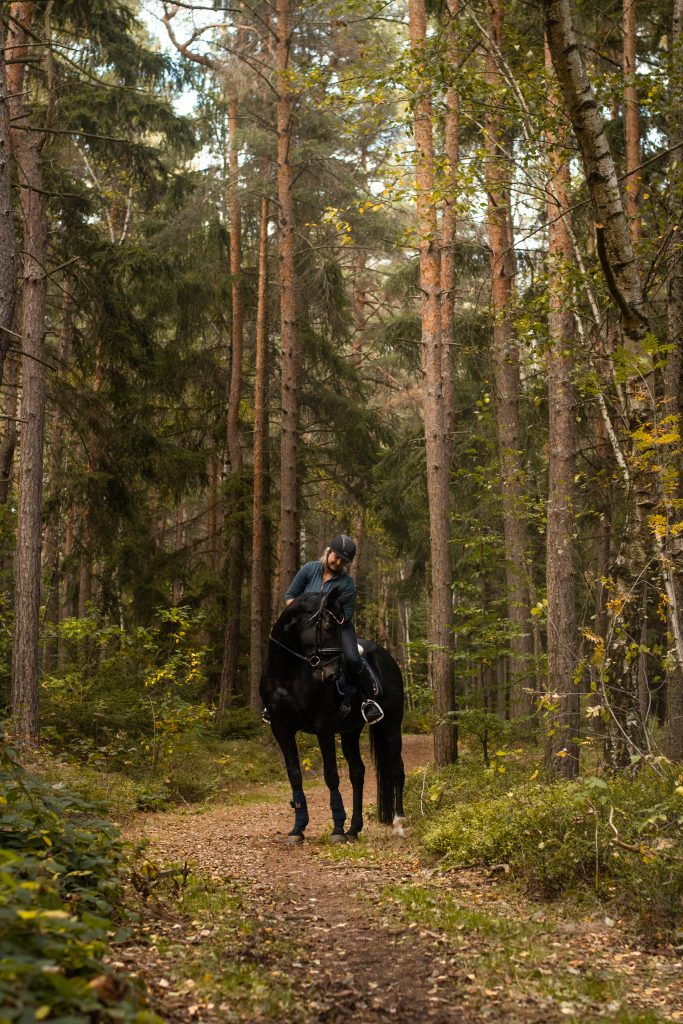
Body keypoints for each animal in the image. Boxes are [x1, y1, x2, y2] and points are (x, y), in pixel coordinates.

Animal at [259, 589, 403, 843]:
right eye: (326, 625)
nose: (333, 674)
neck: (288, 675)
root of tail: (387, 656)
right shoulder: (281, 728)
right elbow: (294, 775)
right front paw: (297, 829)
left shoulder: (323, 727)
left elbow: (331, 776)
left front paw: (336, 830)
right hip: (350, 731)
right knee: (358, 772)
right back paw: (354, 829)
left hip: (392, 725)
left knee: (397, 769)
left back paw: (399, 824)